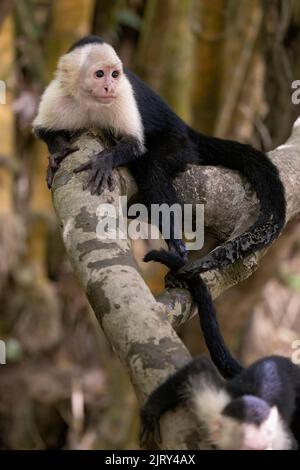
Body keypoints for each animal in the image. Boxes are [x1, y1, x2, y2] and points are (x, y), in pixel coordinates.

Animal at [32, 35, 286, 272]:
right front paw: (58, 153)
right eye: (99, 74)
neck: (90, 101)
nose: (109, 87)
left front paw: (103, 160)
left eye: (114, 75)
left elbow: (134, 145)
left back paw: (175, 241)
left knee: (153, 168)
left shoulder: (123, 95)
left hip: (178, 143)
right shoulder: (58, 94)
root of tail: (184, 127)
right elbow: (43, 130)